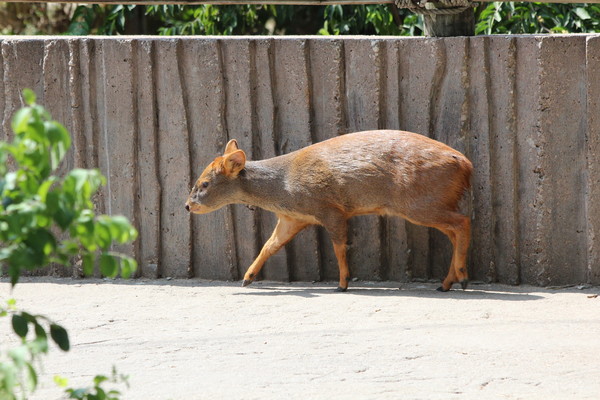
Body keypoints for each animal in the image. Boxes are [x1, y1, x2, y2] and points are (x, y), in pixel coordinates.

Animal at [186, 130, 474, 290]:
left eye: (205, 183)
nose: (187, 205)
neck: (284, 187)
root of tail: (466, 165)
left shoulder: (330, 208)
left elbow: (339, 246)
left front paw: (343, 283)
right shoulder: (292, 218)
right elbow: (270, 245)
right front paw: (247, 278)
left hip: (419, 203)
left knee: (463, 222)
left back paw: (461, 277)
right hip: (431, 203)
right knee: (454, 232)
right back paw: (447, 283)